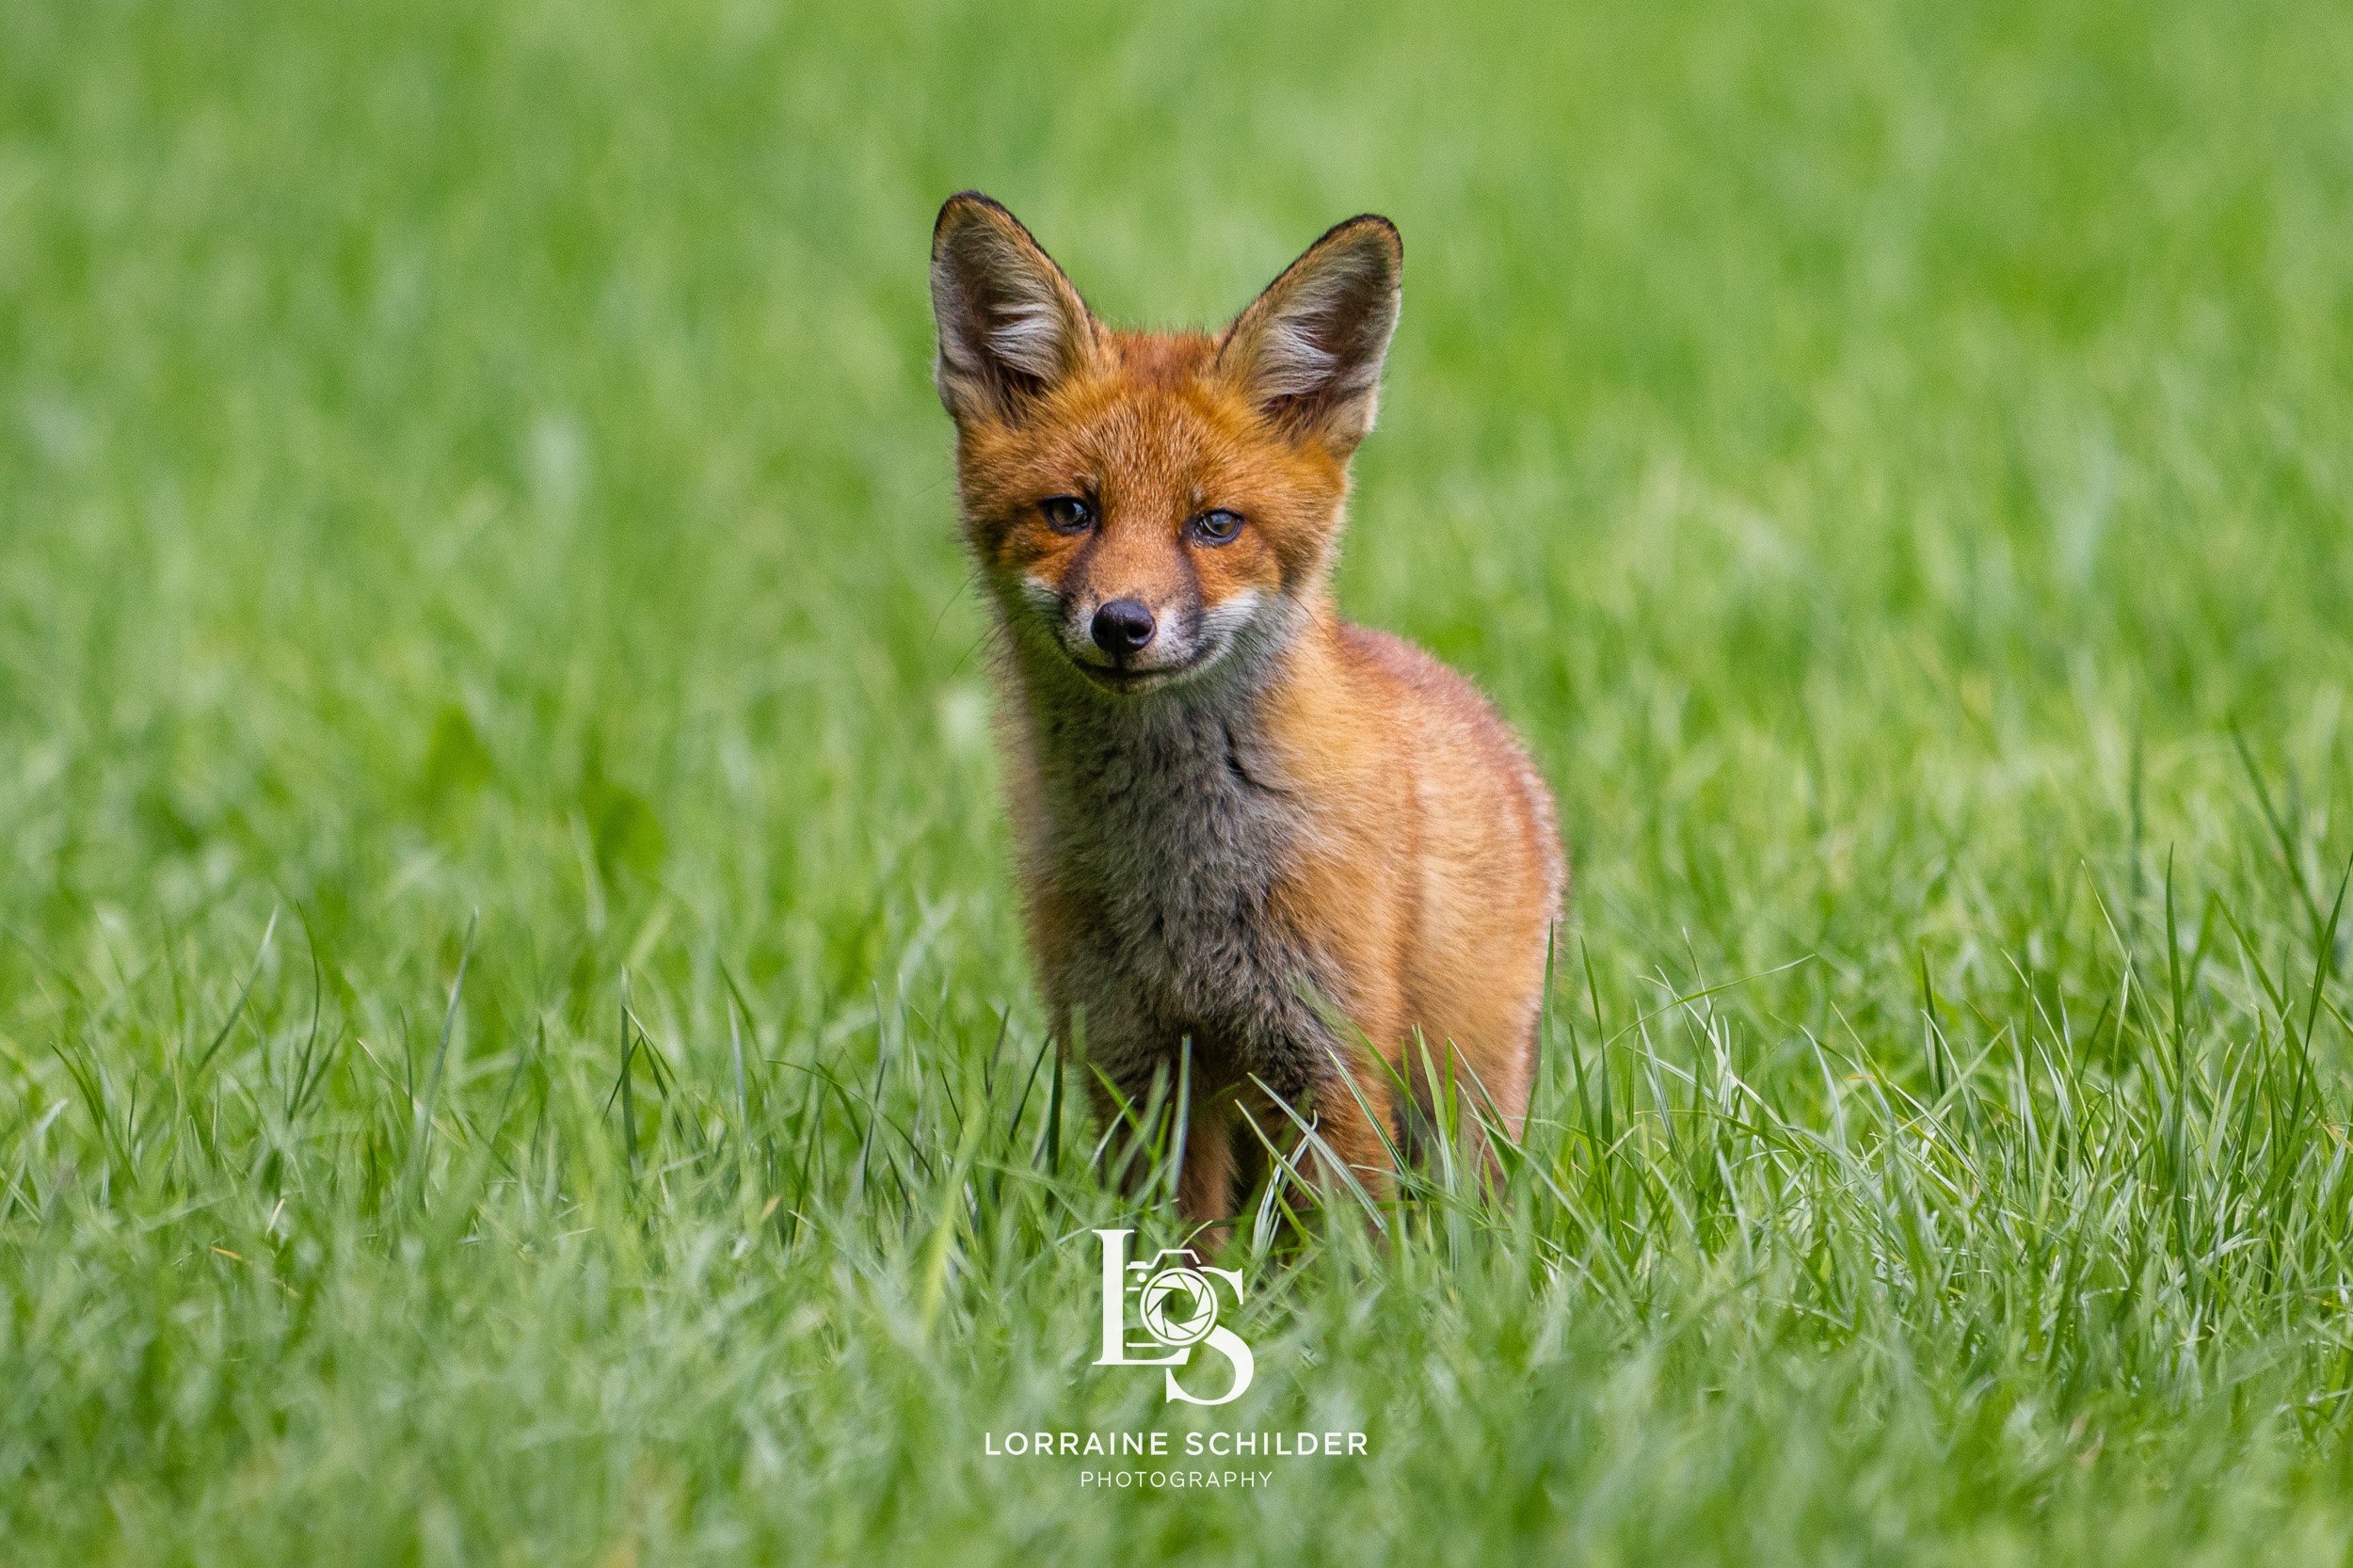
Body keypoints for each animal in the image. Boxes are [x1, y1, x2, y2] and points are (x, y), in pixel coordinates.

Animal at [929, 191, 1565, 1229]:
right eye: (1070, 513)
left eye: (1214, 525)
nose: (1123, 624)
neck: (1178, 878)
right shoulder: (1137, 1063)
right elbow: (1183, 1242)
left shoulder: (1327, 1056)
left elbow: (1342, 1245)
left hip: (1465, 1095)